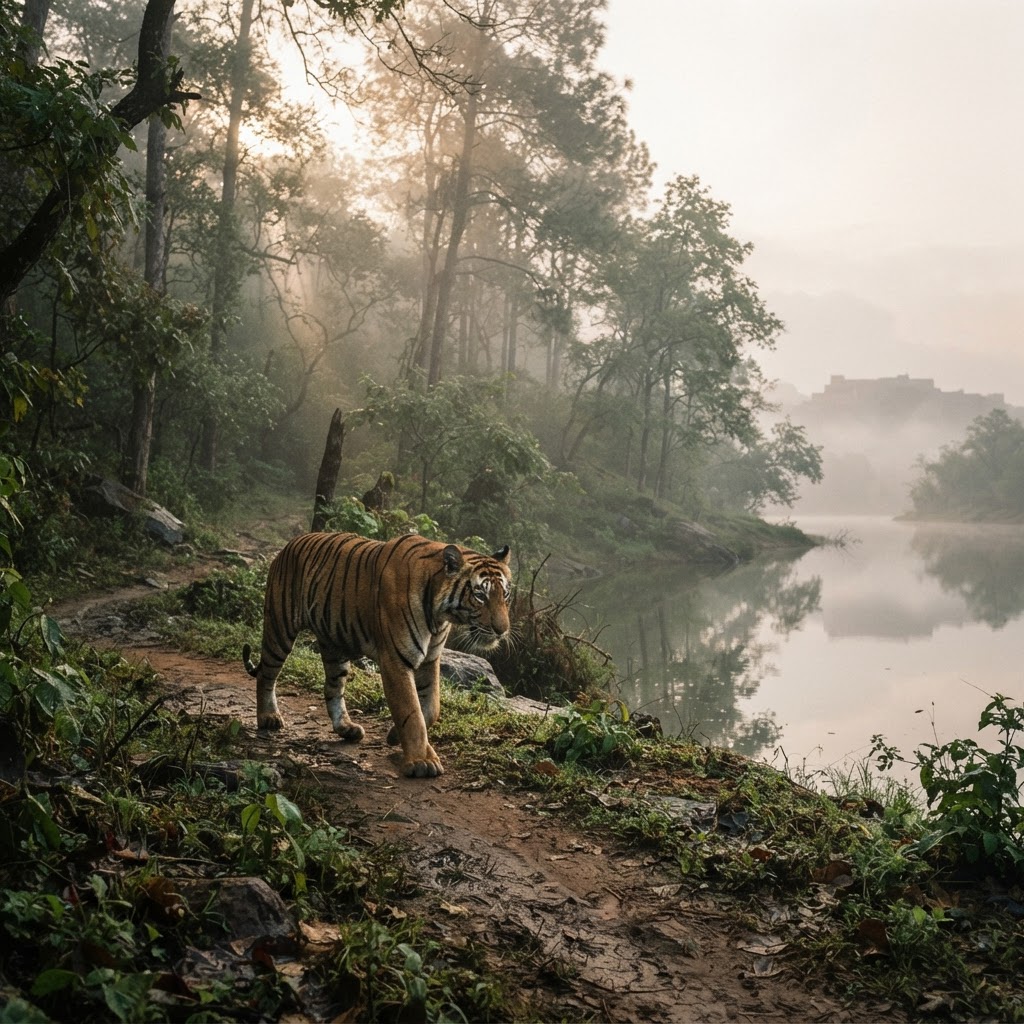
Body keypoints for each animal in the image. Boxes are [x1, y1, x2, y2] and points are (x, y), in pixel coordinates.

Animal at [242, 531, 512, 778]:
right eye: (480, 595)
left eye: (505, 595)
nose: (503, 630)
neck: (439, 616)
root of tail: (291, 542)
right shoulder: (395, 660)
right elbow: (410, 710)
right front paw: (421, 761)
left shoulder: (430, 660)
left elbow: (431, 708)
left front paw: (394, 736)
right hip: (280, 627)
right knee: (266, 675)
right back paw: (268, 717)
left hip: (334, 644)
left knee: (332, 688)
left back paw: (346, 728)